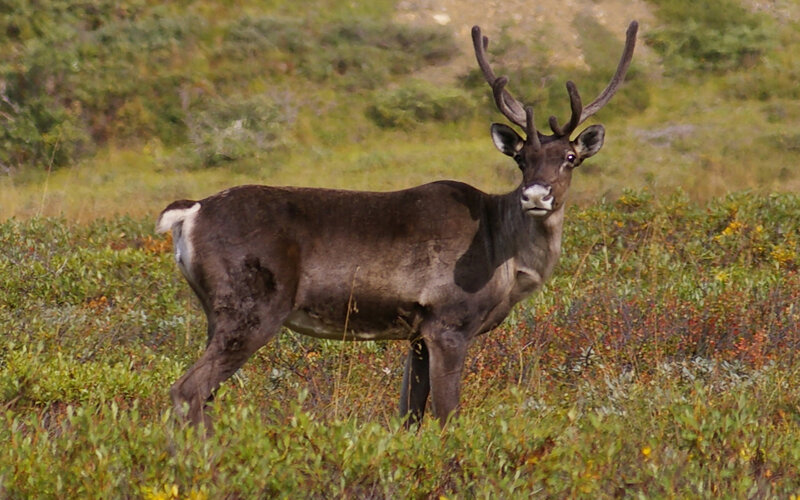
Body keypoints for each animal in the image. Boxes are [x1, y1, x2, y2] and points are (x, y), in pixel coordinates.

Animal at [156, 21, 638, 430]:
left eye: (570, 157)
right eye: (521, 158)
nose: (536, 195)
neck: (504, 256)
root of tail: (190, 211)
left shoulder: (416, 334)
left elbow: (409, 413)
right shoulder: (448, 323)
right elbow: (445, 415)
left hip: (215, 314)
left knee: (200, 395)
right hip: (253, 309)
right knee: (186, 392)